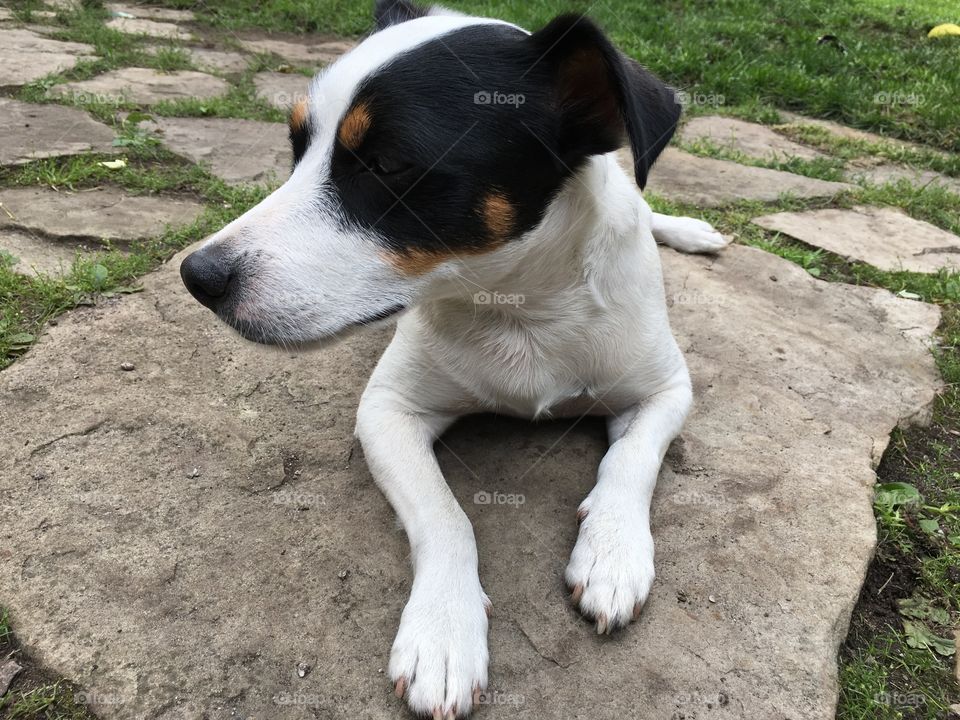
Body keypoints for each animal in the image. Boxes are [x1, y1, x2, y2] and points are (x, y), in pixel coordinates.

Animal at [182, 2, 728, 716]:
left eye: (388, 164)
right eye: (298, 147)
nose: (197, 276)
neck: (519, 311)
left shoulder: (665, 389)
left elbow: (631, 460)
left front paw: (612, 552)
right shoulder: (387, 412)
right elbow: (447, 518)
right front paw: (444, 632)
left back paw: (688, 229)